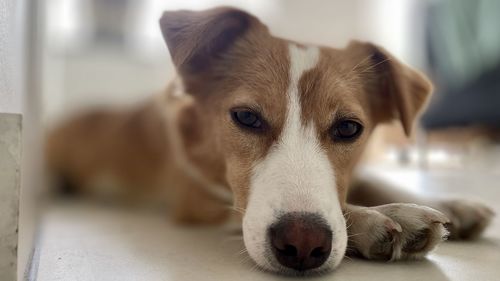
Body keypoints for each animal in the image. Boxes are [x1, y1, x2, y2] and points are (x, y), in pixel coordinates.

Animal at [45, 6, 494, 276]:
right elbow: (251, 211)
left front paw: (447, 204)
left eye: (349, 128)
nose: (303, 245)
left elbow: (374, 181)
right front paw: (382, 220)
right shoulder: (197, 197)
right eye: (246, 117)